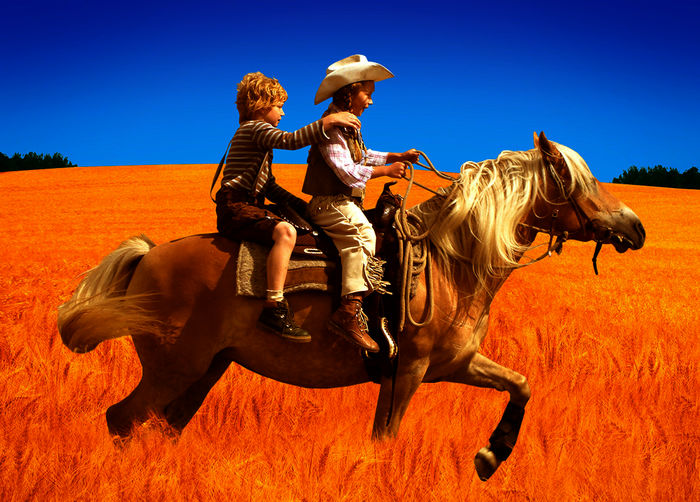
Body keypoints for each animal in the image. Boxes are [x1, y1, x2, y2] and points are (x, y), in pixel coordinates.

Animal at [58, 132, 644, 478]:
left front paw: (489, 456)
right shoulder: (408, 369)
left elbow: (521, 384)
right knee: (122, 419)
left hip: (205, 370)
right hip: (174, 367)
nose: (635, 227)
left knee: (160, 428)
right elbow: (386, 438)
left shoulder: (455, 363)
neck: (452, 259)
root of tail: (150, 255)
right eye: (582, 181)